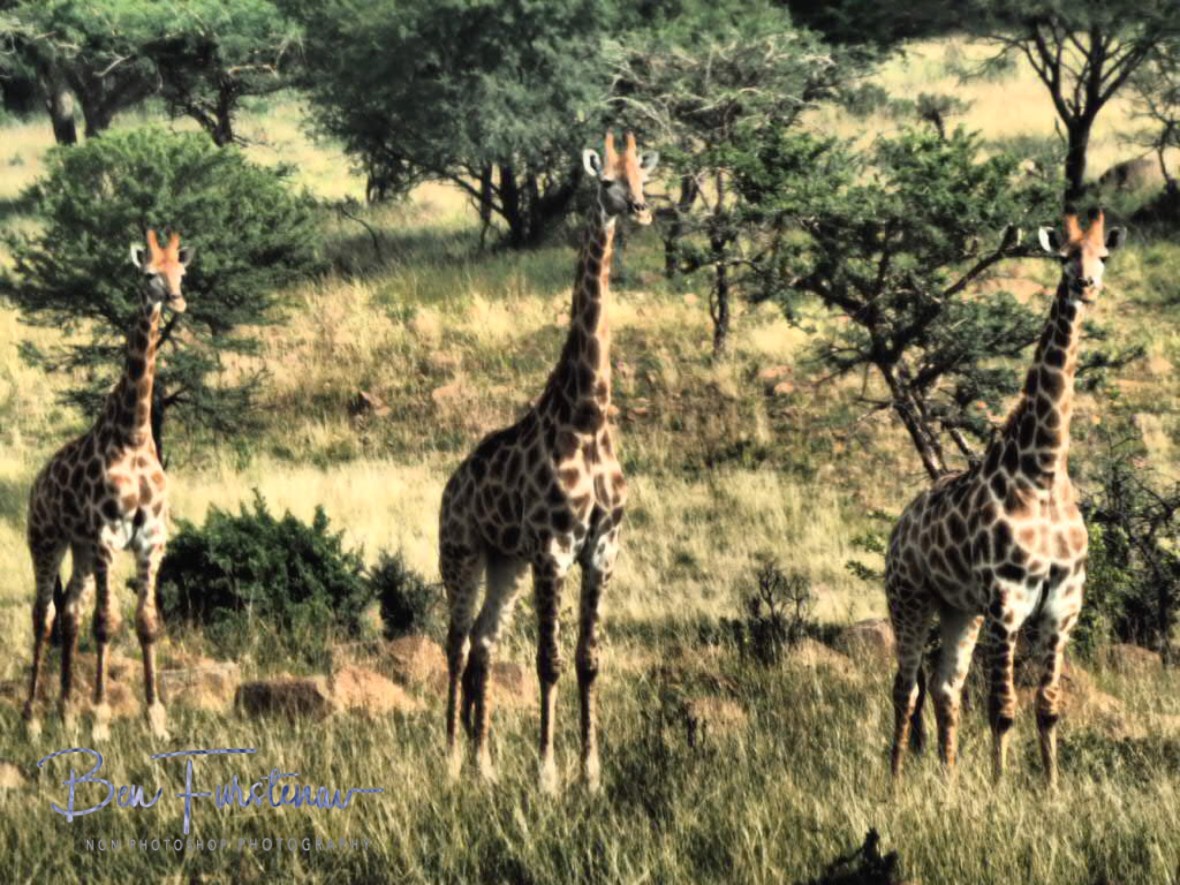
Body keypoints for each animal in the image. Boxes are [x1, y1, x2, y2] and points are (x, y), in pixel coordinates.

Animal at [23, 230, 193, 741]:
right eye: (149, 273)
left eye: (182, 272)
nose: (176, 299)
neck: (135, 433)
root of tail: (36, 484)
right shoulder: (105, 537)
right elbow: (106, 623)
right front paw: (99, 718)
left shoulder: (150, 538)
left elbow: (146, 622)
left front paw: (156, 718)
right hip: (46, 540)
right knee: (43, 615)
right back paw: (31, 719)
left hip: (77, 549)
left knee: (69, 613)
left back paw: (63, 713)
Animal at [438, 132, 658, 792]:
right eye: (606, 180)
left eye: (644, 177)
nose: (641, 210)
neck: (587, 416)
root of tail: (449, 486)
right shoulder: (554, 549)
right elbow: (548, 660)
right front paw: (546, 773)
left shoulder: (602, 549)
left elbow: (587, 661)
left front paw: (590, 773)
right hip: (461, 551)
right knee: (455, 643)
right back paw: (450, 761)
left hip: (505, 562)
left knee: (484, 643)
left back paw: (484, 766)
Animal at [884, 210, 1123, 787]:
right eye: (1064, 255)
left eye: (1103, 255)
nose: (1087, 285)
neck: (1042, 472)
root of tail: (900, 524)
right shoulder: (1007, 602)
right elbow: (1002, 708)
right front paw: (999, 788)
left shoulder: (1063, 604)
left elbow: (1047, 706)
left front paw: (1051, 788)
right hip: (909, 597)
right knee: (906, 686)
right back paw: (896, 780)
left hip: (958, 610)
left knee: (944, 686)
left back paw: (948, 779)